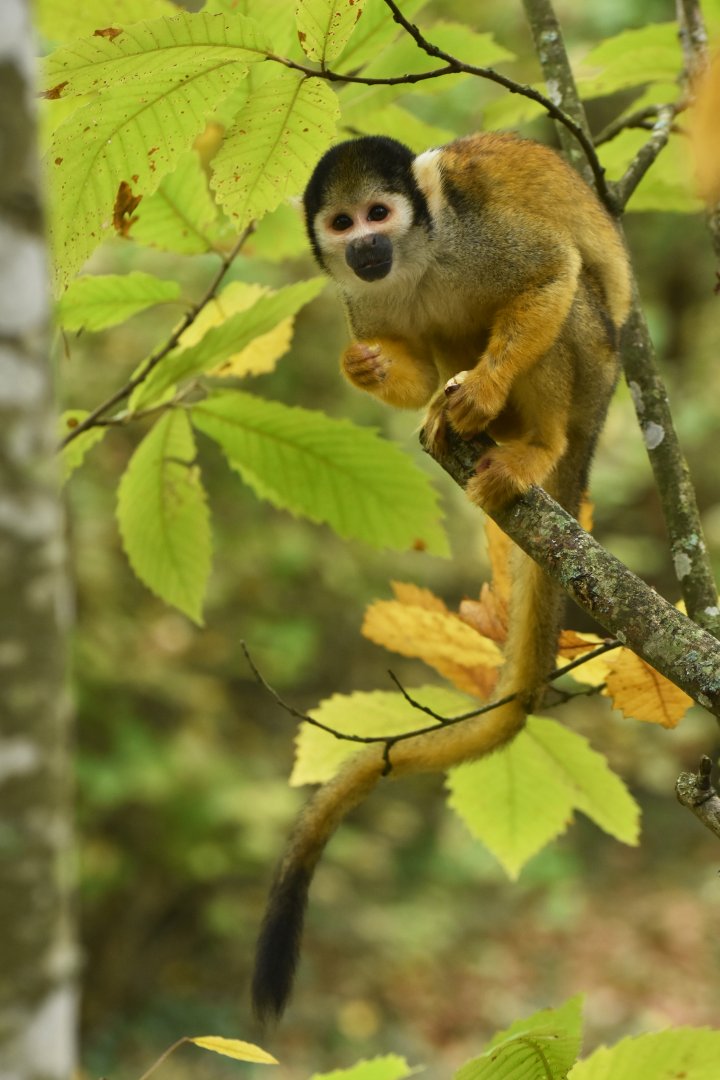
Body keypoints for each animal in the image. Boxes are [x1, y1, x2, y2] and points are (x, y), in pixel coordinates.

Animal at [251, 131, 632, 1022]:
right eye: (343, 223)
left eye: (379, 212)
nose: (365, 247)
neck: (418, 261)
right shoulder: (364, 301)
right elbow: (411, 361)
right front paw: (368, 372)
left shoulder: (479, 240)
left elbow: (550, 272)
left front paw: (483, 388)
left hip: (600, 370)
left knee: (569, 309)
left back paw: (532, 441)